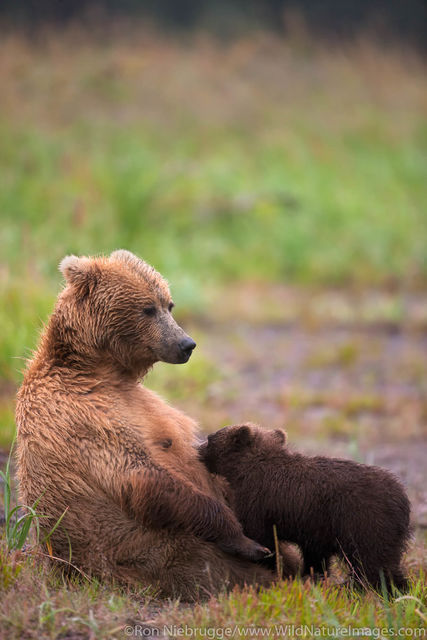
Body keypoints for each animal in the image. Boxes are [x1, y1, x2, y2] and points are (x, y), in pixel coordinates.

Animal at [15, 250, 284, 600]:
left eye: (169, 304)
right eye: (148, 308)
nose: (186, 344)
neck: (101, 371)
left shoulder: (147, 404)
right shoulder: (80, 416)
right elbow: (139, 473)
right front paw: (243, 538)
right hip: (154, 551)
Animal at [199, 422, 412, 592]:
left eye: (210, 438)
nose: (198, 447)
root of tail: (402, 498)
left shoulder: (258, 503)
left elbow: (260, 535)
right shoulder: (315, 528)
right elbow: (315, 557)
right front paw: (310, 576)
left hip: (364, 519)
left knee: (371, 561)